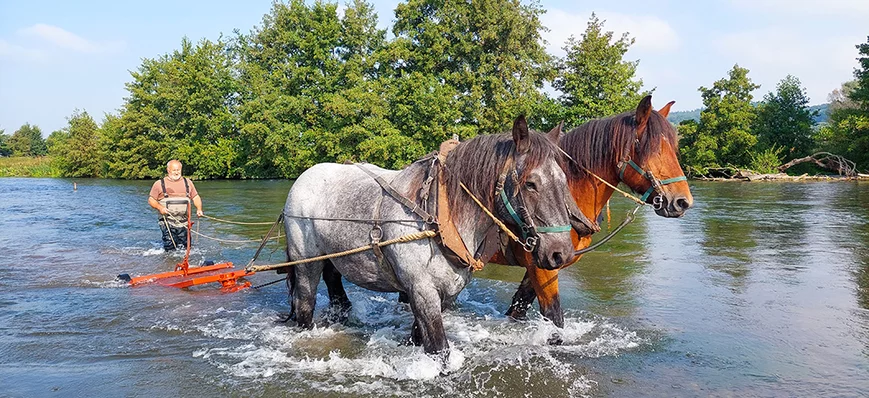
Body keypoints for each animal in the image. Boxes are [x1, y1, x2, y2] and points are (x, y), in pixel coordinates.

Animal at [284, 116, 596, 356]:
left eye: (564, 180)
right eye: (531, 183)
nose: (561, 252)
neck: (439, 217)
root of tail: (304, 177)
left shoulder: (445, 292)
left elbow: (419, 337)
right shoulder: (422, 289)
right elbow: (439, 349)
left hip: (334, 259)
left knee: (335, 285)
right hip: (305, 263)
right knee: (304, 304)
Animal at [498, 95, 696, 328]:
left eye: (673, 148)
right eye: (652, 149)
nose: (683, 201)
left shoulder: (539, 268)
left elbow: (517, 308)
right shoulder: (541, 269)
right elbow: (554, 316)